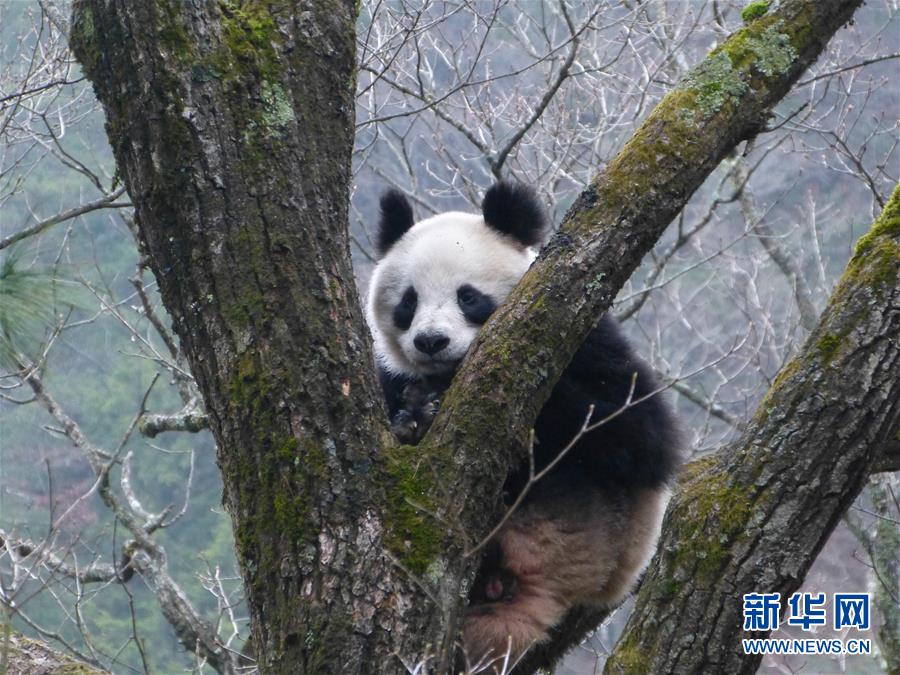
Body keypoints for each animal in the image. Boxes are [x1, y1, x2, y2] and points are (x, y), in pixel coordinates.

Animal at [366, 182, 684, 668]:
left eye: (468, 296)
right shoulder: (390, 373)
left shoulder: (589, 340)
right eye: (408, 302)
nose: (431, 342)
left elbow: (641, 438)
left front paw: (430, 403)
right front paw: (413, 416)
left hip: (588, 526)